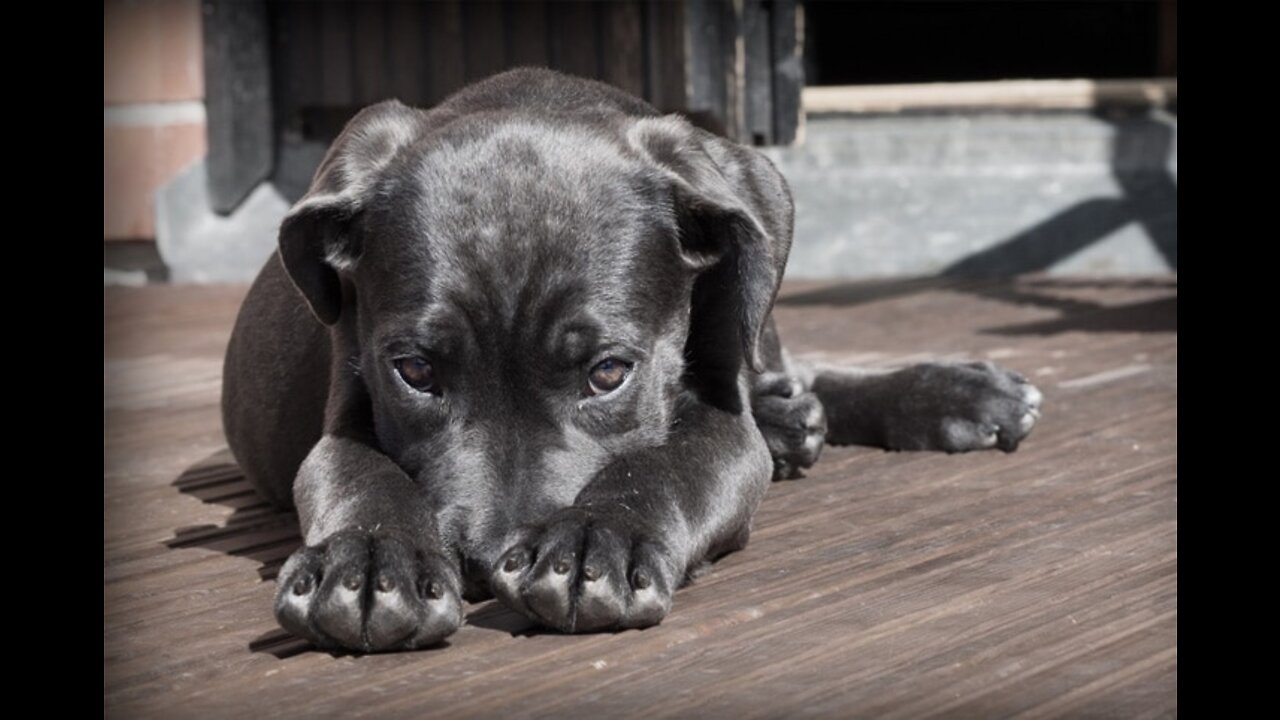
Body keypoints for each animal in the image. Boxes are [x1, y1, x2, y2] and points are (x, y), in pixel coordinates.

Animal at [220, 68, 1039, 650]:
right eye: (415, 373)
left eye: (608, 372)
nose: (485, 563)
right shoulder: (346, 408)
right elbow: (357, 472)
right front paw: (367, 561)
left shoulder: (720, 421)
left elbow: (665, 463)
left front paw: (594, 539)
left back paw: (951, 394)